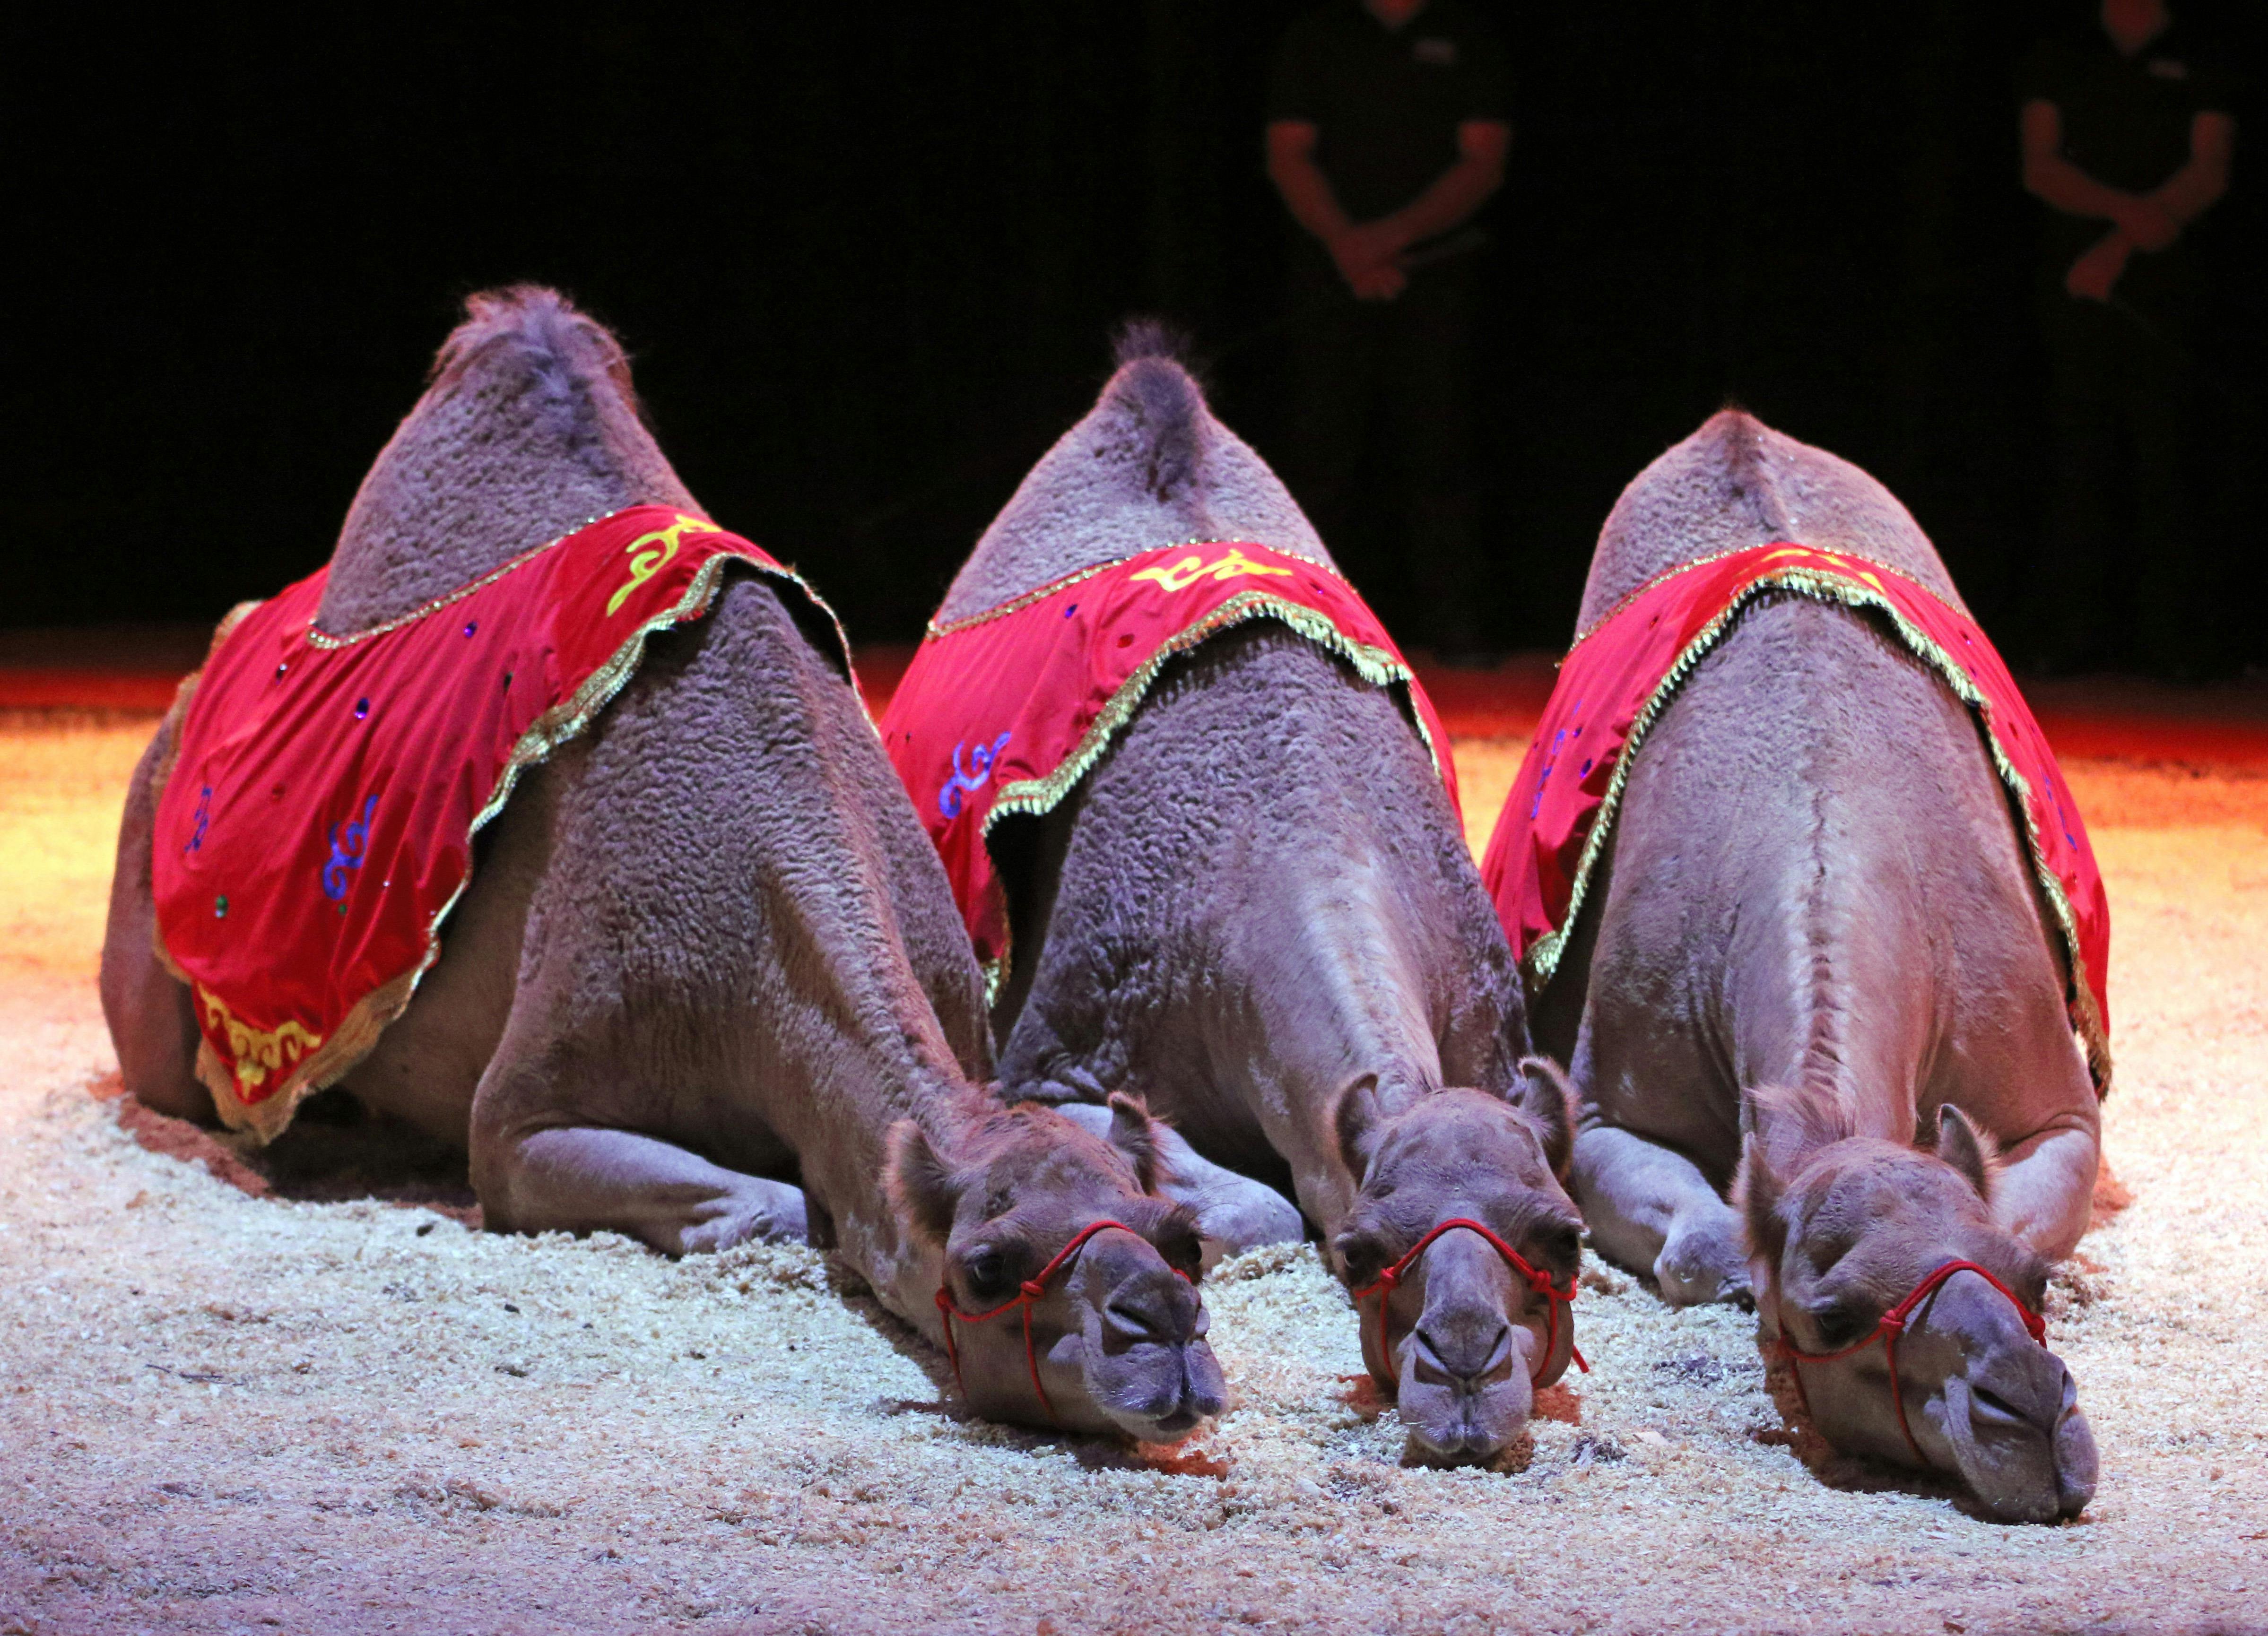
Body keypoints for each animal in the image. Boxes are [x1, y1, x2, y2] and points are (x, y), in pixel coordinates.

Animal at [1525, 410, 2099, 1520]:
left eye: (2030, 1283)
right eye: (1832, 1315)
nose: (2030, 1414)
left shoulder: (2057, 1112)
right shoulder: (1610, 1114)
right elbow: (1704, 1244)